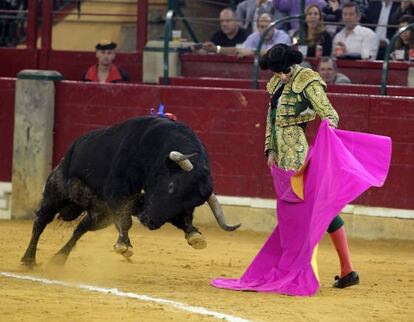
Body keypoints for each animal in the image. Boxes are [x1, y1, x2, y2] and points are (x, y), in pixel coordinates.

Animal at [21, 115, 241, 266]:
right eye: (171, 186)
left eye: (194, 202)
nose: (148, 222)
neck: (154, 156)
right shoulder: (118, 194)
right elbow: (125, 221)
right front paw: (124, 245)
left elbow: (184, 220)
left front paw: (195, 236)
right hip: (56, 192)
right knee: (40, 222)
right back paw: (28, 260)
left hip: (100, 216)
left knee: (80, 229)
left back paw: (58, 259)